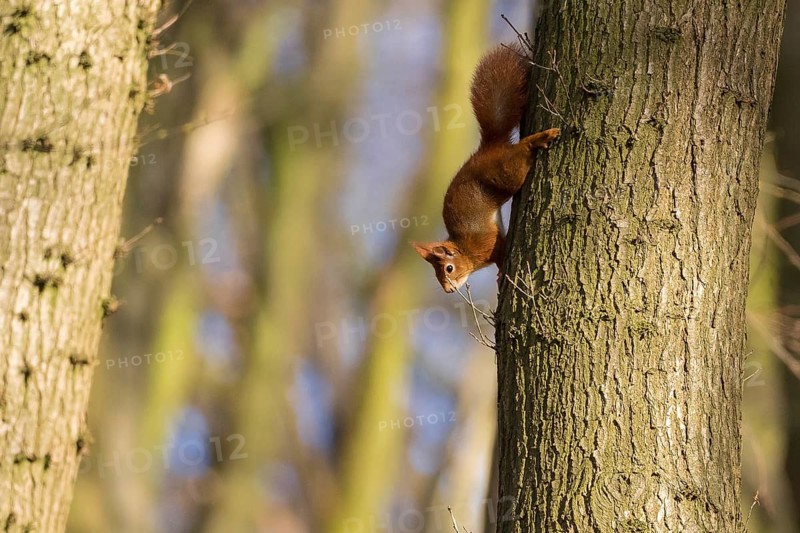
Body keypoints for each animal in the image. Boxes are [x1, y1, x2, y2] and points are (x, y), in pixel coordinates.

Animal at [412, 44, 560, 293]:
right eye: (436, 274)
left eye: (448, 268)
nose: (448, 290)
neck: (465, 249)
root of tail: (490, 147)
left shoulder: (488, 244)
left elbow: (500, 254)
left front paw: (501, 276)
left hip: (506, 172)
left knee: (521, 154)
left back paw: (539, 139)